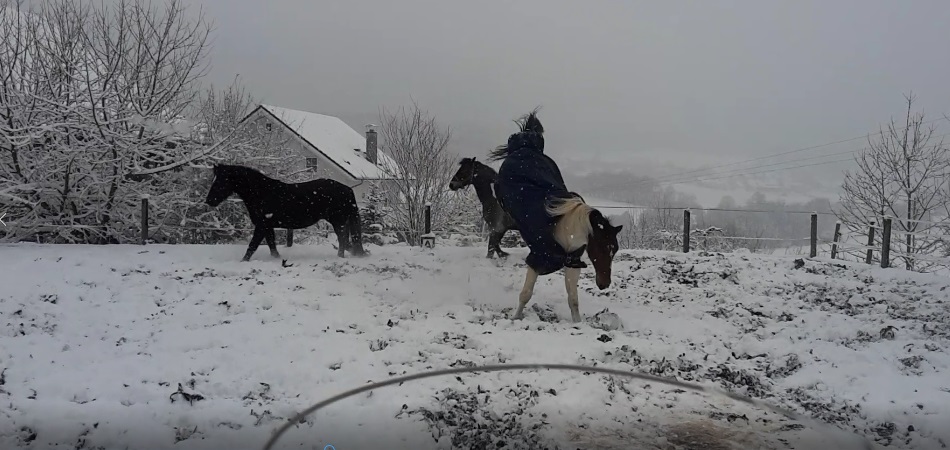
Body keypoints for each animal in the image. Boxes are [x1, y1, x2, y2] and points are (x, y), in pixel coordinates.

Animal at [205, 163, 368, 260]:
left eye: (220, 180)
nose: (209, 200)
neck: (261, 193)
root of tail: (347, 189)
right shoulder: (267, 226)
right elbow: (271, 244)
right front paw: (277, 258)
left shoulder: (262, 225)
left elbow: (252, 245)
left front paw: (243, 261)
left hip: (337, 221)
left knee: (342, 239)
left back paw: (340, 257)